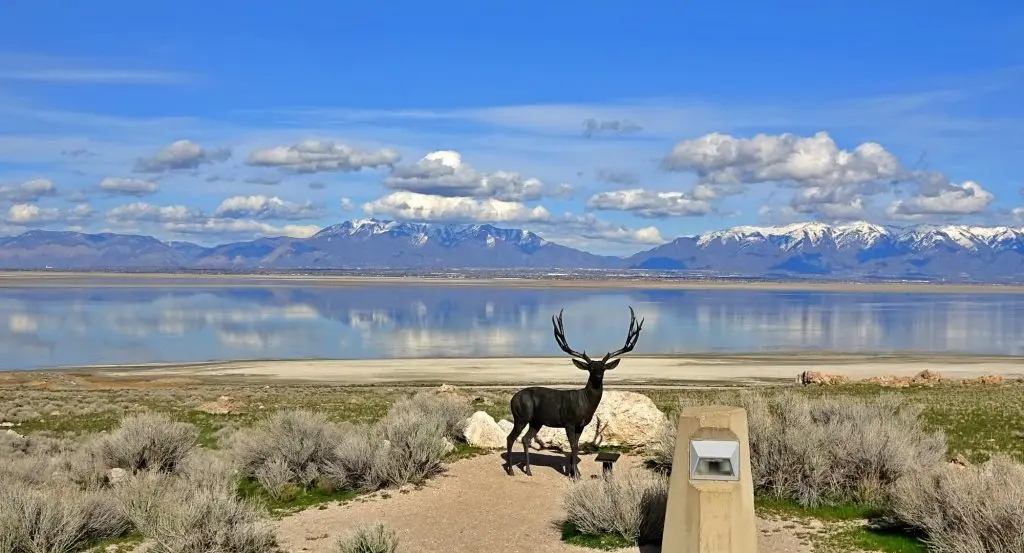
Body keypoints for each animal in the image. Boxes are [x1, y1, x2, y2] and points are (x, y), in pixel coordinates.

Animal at [504, 306, 644, 478]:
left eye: (603, 368)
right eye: (591, 368)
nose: (598, 376)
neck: (585, 404)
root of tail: (512, 399)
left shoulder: (580, 425)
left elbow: (576, 445)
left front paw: (576, 472)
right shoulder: (569, 422)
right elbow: (573, 445)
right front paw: (574, 475)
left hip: (536, 421)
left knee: (525, 439)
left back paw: (529, 471)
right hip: (521, 416)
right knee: (510, 438)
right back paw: (511, 470)